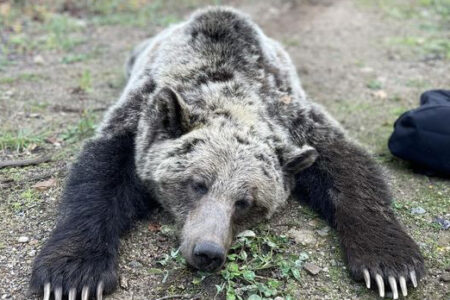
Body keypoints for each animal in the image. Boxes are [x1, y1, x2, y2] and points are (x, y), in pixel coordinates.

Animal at [29, 6, 424, 300]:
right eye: (197, 184)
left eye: (245, 202)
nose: (208, 252)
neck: (228, 85)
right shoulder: (139, 115)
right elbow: (99, 177)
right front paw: (73, 274)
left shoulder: (294, 118)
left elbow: (349, 169)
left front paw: (390, 265)